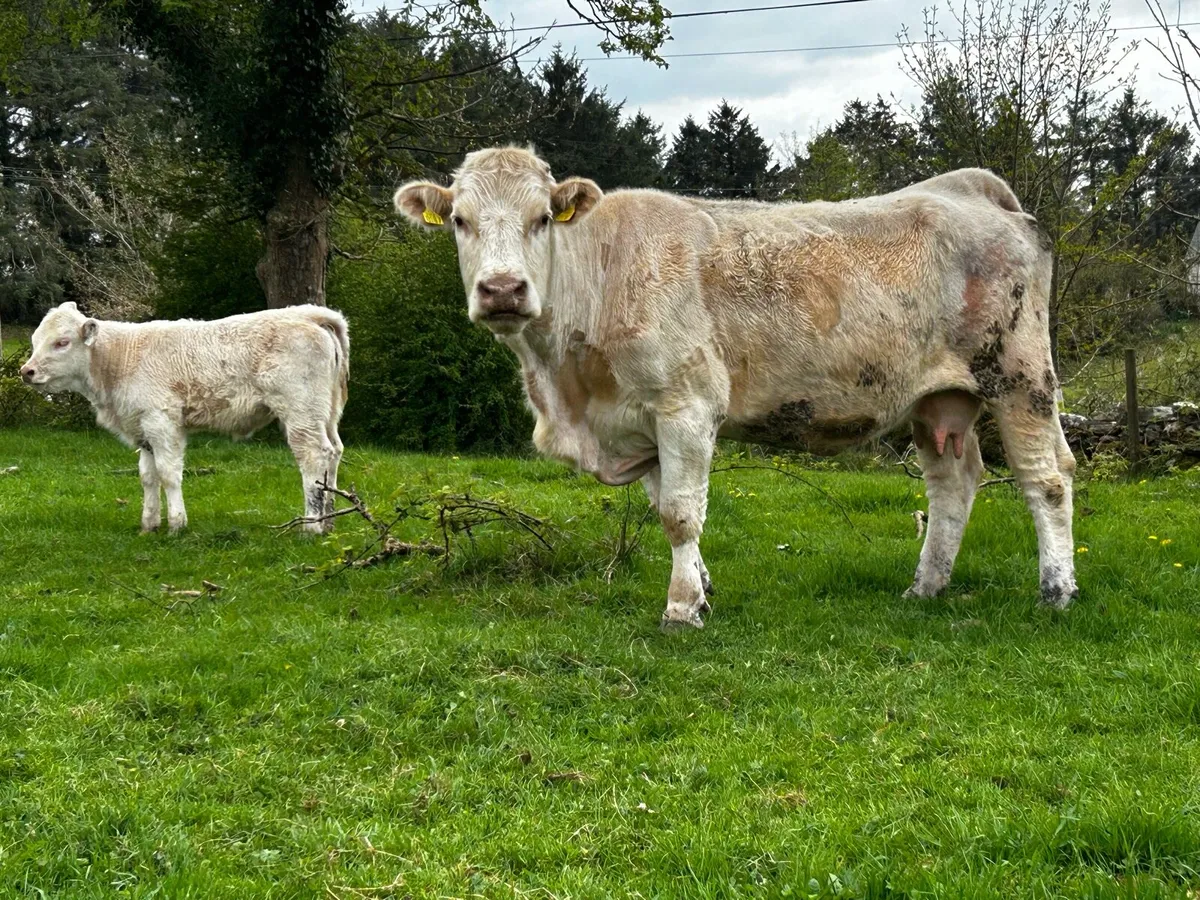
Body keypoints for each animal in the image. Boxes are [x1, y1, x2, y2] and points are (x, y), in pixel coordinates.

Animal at [21, 303, 349, 535]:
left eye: (62, 342)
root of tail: (309, 315)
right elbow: (148, 476)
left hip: (300, 411)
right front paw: (149, 525)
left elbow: (168, 473)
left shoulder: (162, 422)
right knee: (334, 452)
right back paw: (329, 521)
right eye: (36, 339)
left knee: (313, 456)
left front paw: (177, 524)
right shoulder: (143, 429)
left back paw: (311, 525)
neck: (119, 359)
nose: (27, 371)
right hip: (326, 412)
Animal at [394, 147, 1077, 629]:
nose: (502, 290)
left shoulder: (686, 403)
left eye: (541, 220)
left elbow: (679, 514)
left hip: (1021, 377)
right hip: (937, 397)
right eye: (459, 221)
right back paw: (926, 586)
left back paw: (1057, 591)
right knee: (953, 483)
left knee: (1046, 478)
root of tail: (968, 189)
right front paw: (700, 591)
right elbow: (665, 508)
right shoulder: (641, 422)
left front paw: (679, 610)